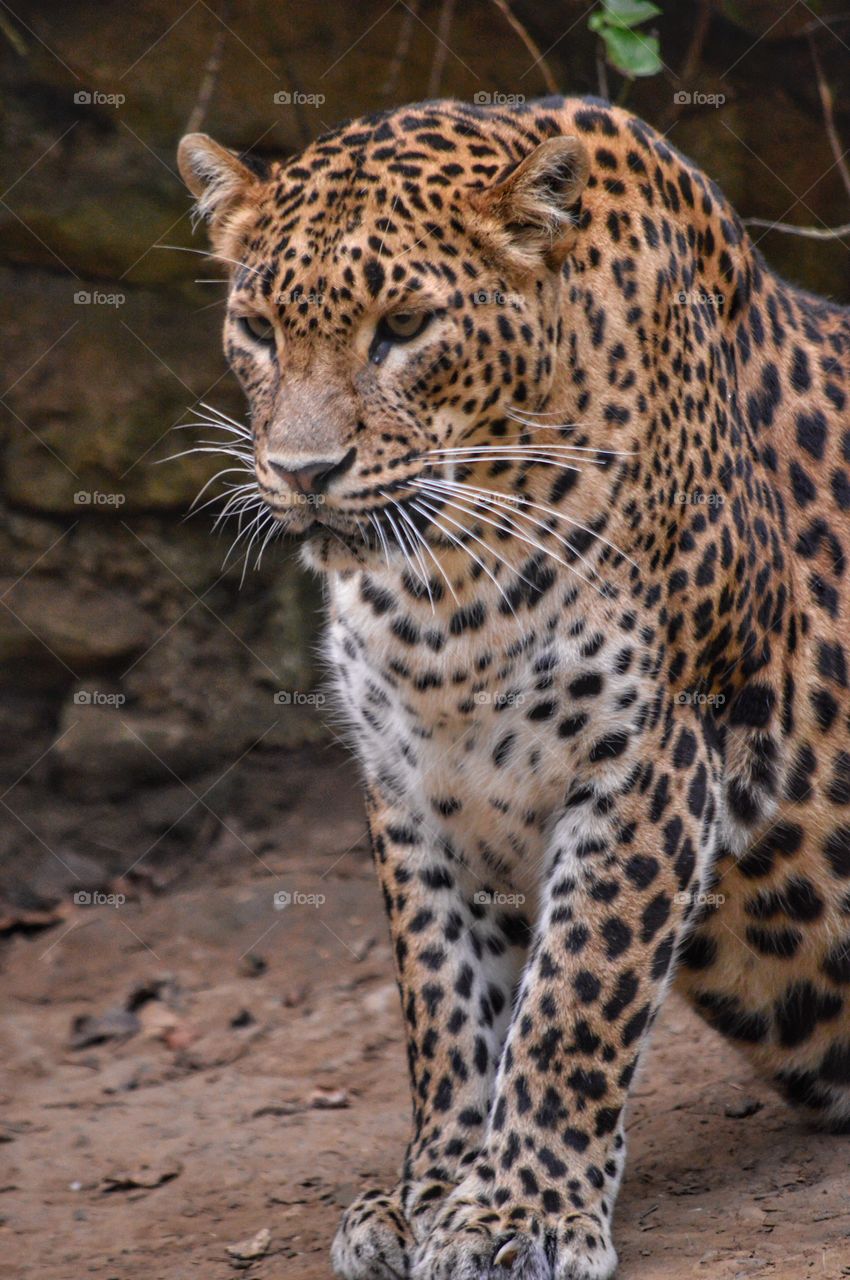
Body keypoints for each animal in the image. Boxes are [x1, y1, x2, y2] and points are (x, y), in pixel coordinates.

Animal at [177, 94, 850, 1280]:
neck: (446, 589)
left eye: (403, 328)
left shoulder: (652, 755)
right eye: (257, 332)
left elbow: (574, 996)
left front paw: (516, 1211)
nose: (304, 474)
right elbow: (447, 1004)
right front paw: (433, 1192)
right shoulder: (415, 780)